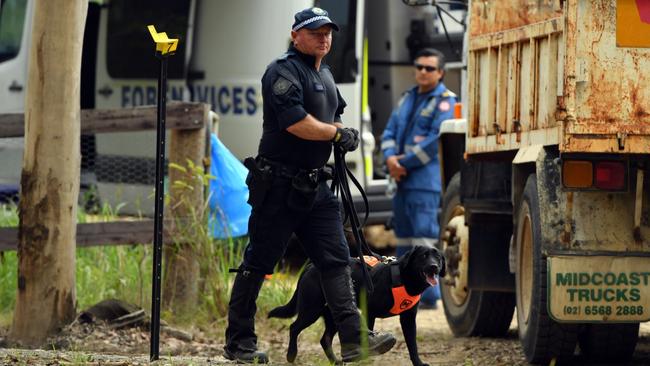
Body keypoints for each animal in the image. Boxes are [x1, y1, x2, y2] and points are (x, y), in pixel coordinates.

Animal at [266, 246, 442, 366]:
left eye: (438, 257)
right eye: (423, 256)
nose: (434, 266)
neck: (403, 278)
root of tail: (310, 267)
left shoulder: (408, 319)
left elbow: (413, 345)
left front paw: (418, 363)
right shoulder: (370, 312)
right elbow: (368, 333)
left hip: (333, 315)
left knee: (325, 339)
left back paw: (335, 361)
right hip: (311, 310)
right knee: (294, 327)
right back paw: (291, 354)